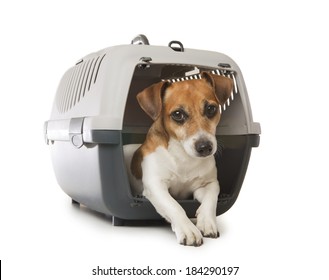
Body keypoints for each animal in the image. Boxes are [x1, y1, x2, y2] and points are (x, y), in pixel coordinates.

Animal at [123, 71, 233, 245]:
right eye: (177, 114)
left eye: (211, 109)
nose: (205, 147)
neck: (184, 156)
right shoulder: (156, 186)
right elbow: (174, 206)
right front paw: (188, 229)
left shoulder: (209, 184)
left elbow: (211, 200)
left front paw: (207, 221)